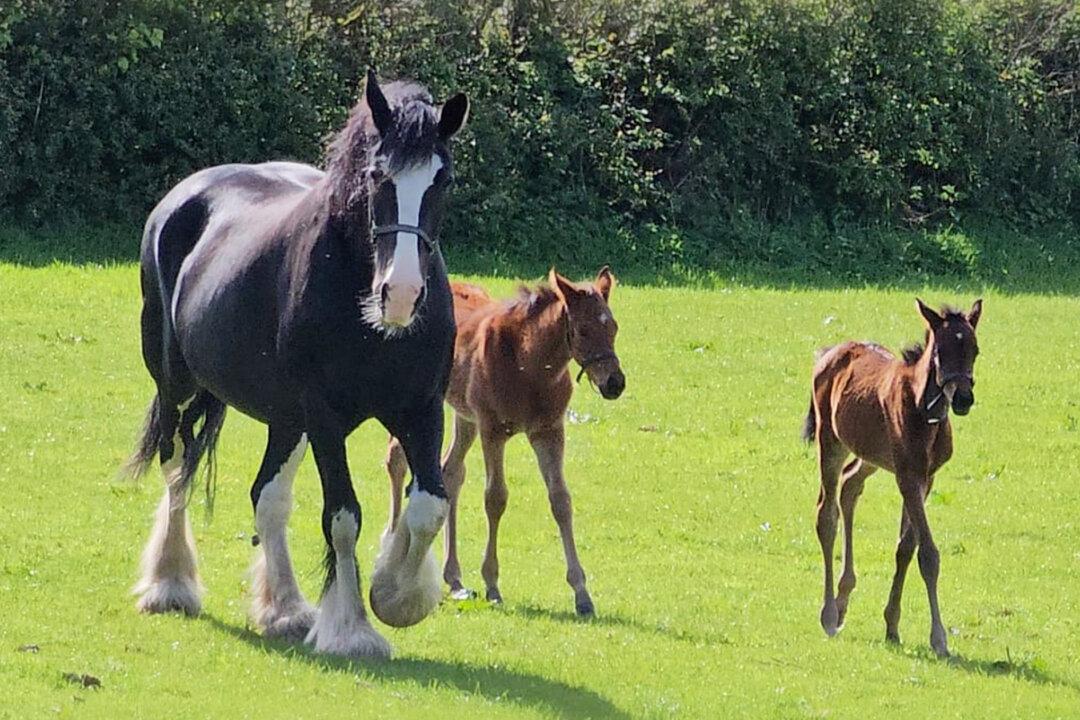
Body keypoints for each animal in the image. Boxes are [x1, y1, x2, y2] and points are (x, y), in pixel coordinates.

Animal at [124, 70, 470, 659]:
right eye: (377, 175)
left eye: (441, 179)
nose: (400, 294)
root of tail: (183, 198)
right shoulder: (324, 416)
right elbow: (344, 517)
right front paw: (353, 629)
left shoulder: (421, 408)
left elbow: (429, 506)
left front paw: (397, 594)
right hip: (177, 386)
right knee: (178, 466)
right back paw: (170, 583)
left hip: (286, 420)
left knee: (269, 498)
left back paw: (284, 608)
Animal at [385, 268, 625, 616]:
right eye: (582, 330)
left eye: (614, 327)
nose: (615, 383)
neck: (529, 364)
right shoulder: (493, 430)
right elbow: (495, 498)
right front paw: (492, 583)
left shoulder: (548, 432)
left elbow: (561, 500)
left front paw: (582, 593)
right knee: (395, 458)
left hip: (464, 417)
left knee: (450, 472)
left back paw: (454, 577)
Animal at [802, 298, 982, 657]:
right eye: (940, 350)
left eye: (975, 349)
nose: (963, 399)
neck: (924, 411)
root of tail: (827, 353)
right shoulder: (908, 476)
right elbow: (928, 554)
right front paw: (939, 639)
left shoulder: (925, 478)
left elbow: (906, 547)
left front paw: (892, 626)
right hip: (830, 441)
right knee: (826, 514)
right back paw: (829, 614)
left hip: (871, 454)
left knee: (850, 485)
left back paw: (843, 600)